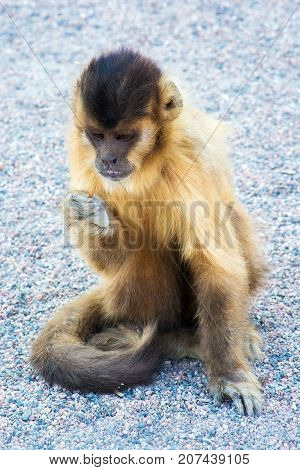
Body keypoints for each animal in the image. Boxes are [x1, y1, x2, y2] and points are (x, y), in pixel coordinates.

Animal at [32, 47, 268, 414]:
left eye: (123, 137)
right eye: (97, 136)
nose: (109, 159)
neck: (148, 166)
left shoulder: (190, 158)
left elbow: (217, 264)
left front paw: (230, 375)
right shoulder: (87, 169)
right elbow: (114, 257)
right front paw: (92, 218)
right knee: (144, 251)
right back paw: (163, 335)